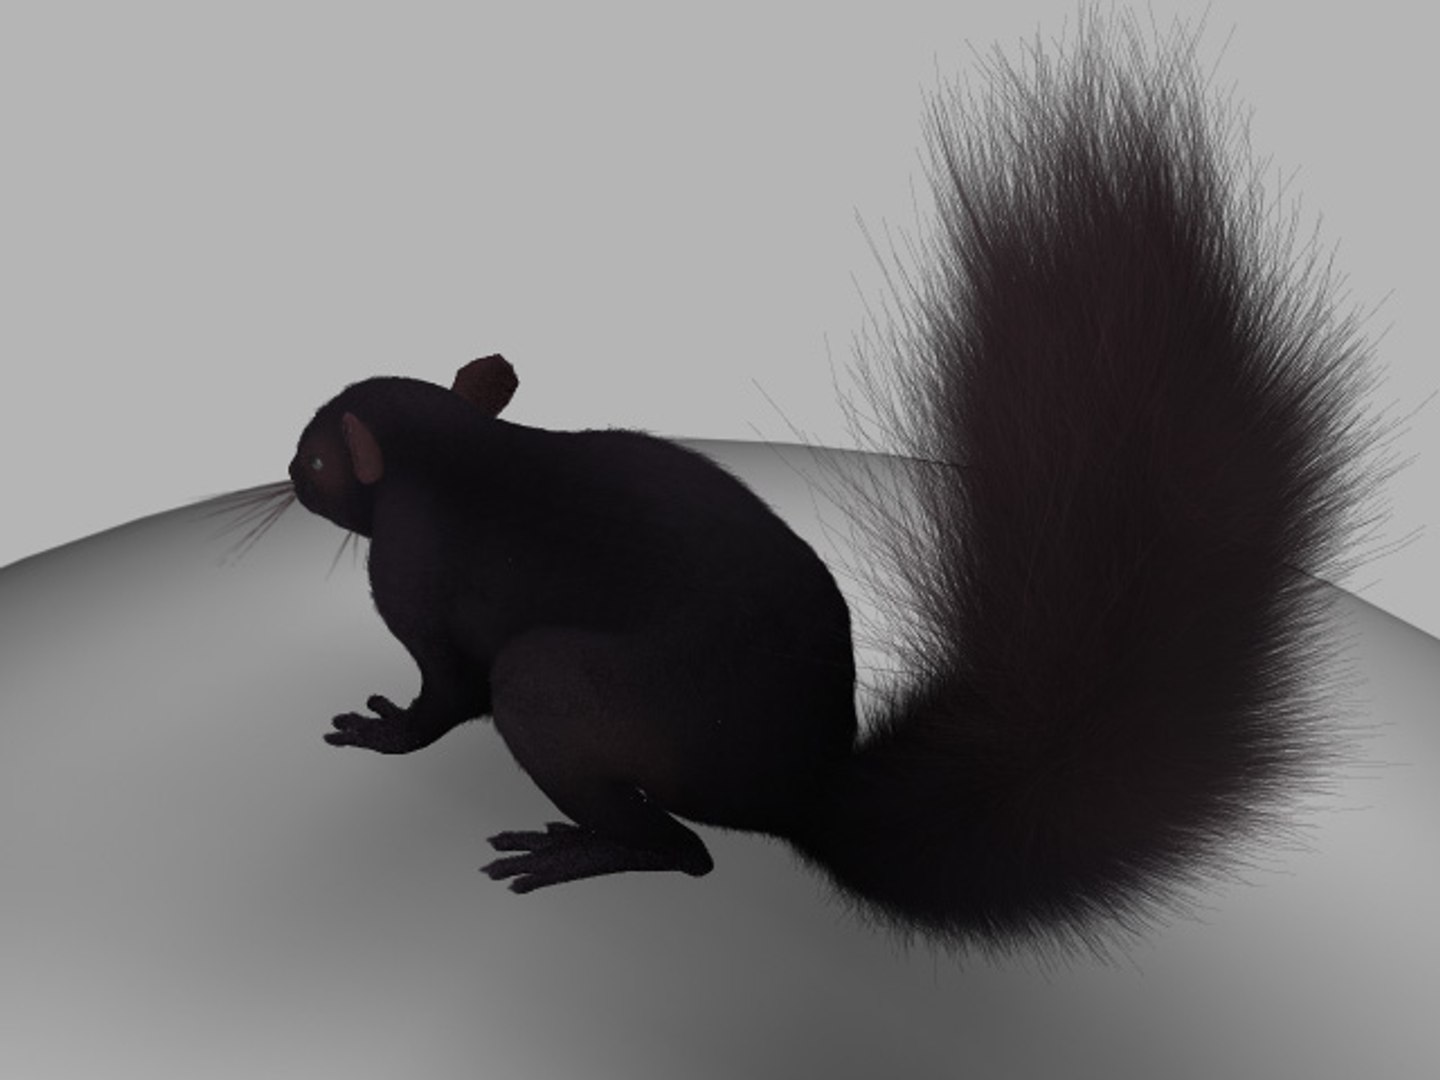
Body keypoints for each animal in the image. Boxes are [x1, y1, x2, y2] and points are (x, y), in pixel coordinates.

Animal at [234, 10, 1390, 957]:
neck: (457, 453)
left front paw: (384, 727)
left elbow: (448, 694)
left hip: (566, 694)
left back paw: (580, 852)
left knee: (682, 846)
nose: (283, 473)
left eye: (316, 457)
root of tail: (799, 789)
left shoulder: (421, 585)